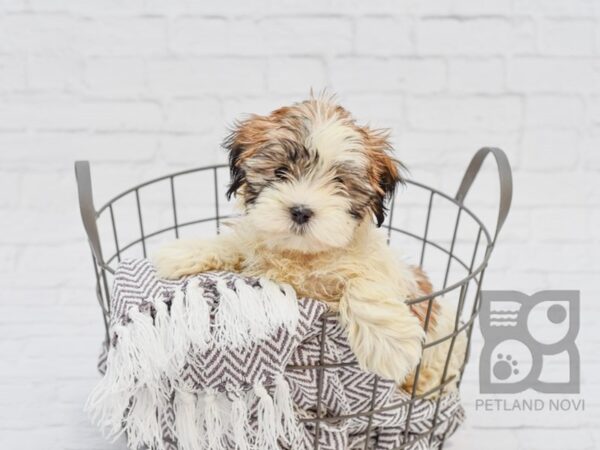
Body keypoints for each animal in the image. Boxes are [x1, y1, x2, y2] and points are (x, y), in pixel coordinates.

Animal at [154, 96, 464, 392]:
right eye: (280, 172)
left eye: (339, 182)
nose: (301, 211)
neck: (303, 254)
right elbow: (235, 243)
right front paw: (182, 252)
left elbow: (364, 280)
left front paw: (388, 343)